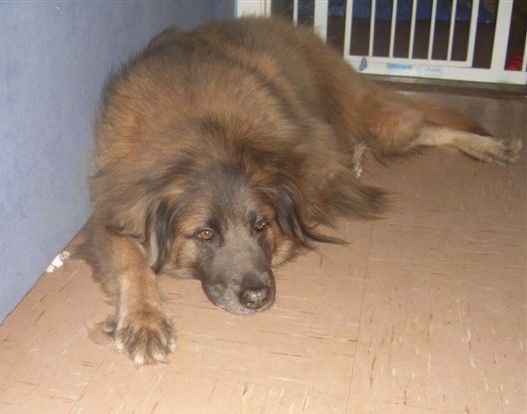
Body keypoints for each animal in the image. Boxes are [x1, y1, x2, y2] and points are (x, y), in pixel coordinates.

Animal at [83, 17, 524, 364]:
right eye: (205, 234)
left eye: (261, 226)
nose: (258, 297)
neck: (207, 138)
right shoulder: (114, 209)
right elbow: (130, 259)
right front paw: (144, 319)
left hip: (374, 119)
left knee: (425, 126)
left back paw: (489, 145)